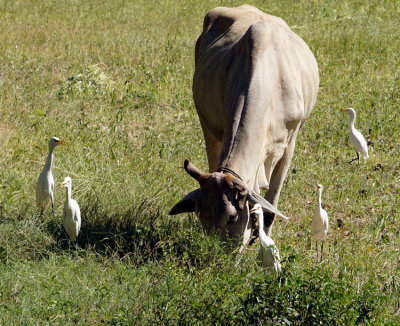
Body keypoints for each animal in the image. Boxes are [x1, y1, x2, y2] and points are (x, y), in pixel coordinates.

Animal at [169, 5, 318, 246]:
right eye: (200, 217)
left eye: (231, 217)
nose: (216, 253)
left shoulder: (290, 143)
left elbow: (270, 209)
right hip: (207, 126)